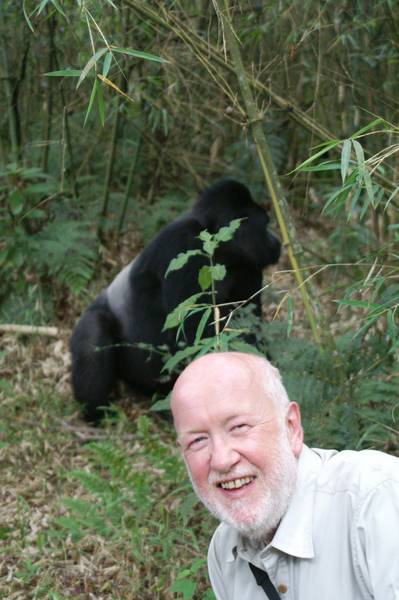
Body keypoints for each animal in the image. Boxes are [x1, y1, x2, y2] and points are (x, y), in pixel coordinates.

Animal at [69, 179, 282, 422]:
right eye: (265, 225)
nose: (277, 241)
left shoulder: (249, 266)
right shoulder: (183, 244)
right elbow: (193, 332)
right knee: (94, 335)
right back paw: (95, 411)